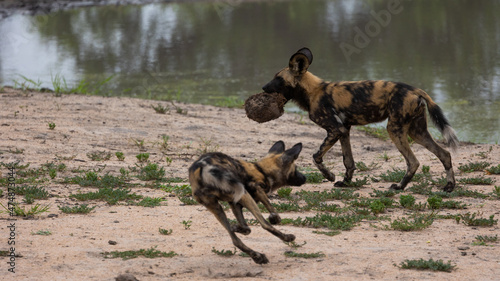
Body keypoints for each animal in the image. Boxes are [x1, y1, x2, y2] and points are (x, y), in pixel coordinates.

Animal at [264, 48, 458, 192]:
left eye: (278, 79)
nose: (264, 87)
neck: (313, 92)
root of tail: (415, 89)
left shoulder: (335, 130)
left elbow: (316, 156)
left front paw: (329, 176)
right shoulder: (344, 130)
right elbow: (348, 161)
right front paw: (345, 183)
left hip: (395, 130)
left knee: (413, 162)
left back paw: (400, 187)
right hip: (416, 132)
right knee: (444, 154)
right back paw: (449, 186)